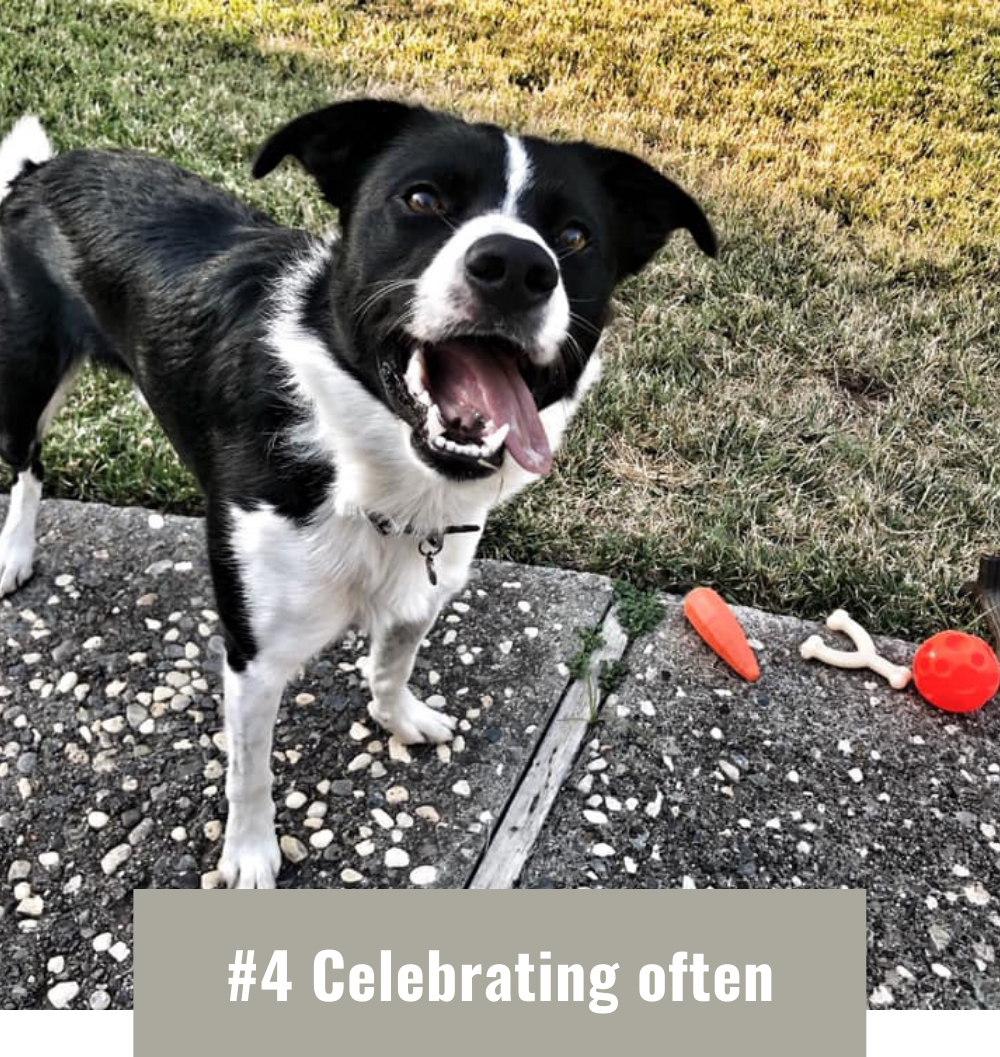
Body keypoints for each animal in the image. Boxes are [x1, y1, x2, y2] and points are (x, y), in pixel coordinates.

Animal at [0, 100, 718, 883]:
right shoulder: (253, 651)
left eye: (574, 236)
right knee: (28, 466)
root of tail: (40, 171)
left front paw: (398, 719)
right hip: (24, 379)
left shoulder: (427, 582)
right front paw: (249, 853)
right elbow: (249, 768)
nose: (518, 268)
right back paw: (14, 553)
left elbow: (390, 662)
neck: (371, 469)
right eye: (422, 199)